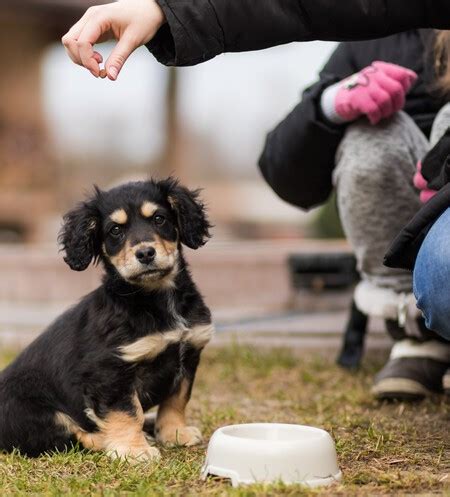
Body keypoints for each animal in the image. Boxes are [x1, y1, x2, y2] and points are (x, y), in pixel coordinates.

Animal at [0, 177, 214, 458]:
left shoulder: (189, 354)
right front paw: (134, 451)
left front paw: (174, 433)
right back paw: (109, 439)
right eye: (115, 230)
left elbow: (176, 400)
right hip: (31, 411)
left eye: (159, 219)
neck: (157, 298)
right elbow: (127, 411)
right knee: (67, 437)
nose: (145, 253)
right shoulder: (110, 370)